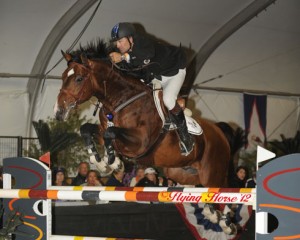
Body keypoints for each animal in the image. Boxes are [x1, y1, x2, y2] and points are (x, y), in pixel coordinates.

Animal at [54, 40, 231, 188]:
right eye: (62, 77)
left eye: (79, 78)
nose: (58, 112)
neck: (119, 99)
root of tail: (220, 133)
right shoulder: (105, 130)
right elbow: (87, 129)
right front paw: (99, 162)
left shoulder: (140, 142)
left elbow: (110, 133)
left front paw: (113, 162)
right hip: (181, 173)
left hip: (213, 177)